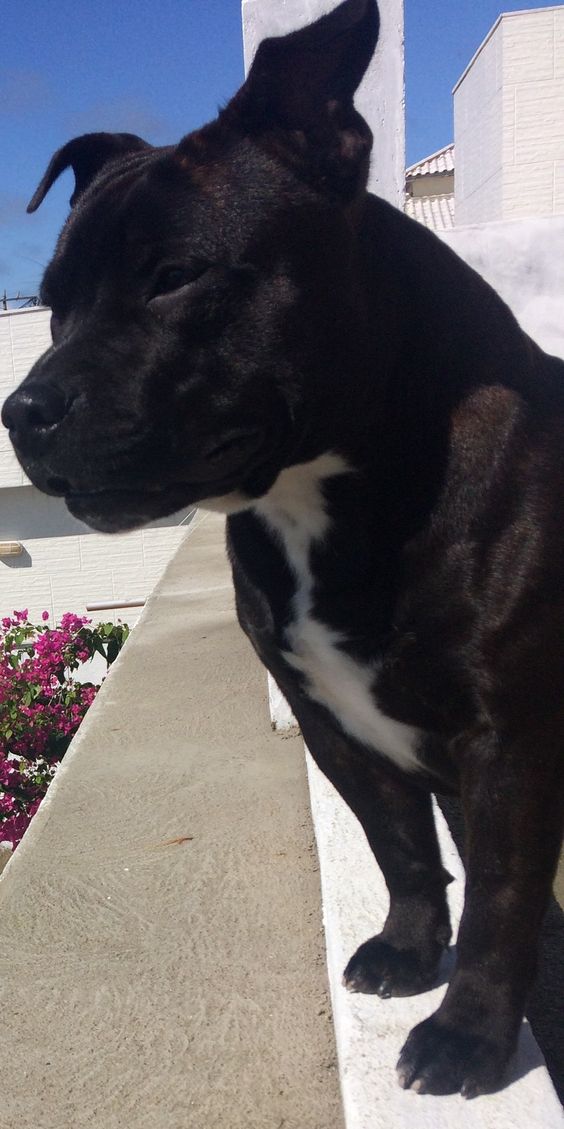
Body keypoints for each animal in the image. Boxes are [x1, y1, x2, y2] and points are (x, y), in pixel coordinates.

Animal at [2, 0, 561, 1092]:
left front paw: (470, 1032)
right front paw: (410, 947)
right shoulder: (331, 719)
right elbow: (398, 844)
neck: (321, 493)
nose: (20, 409)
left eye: (174, 278)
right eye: (53, 301)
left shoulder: (511, 739)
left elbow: (504, 895)